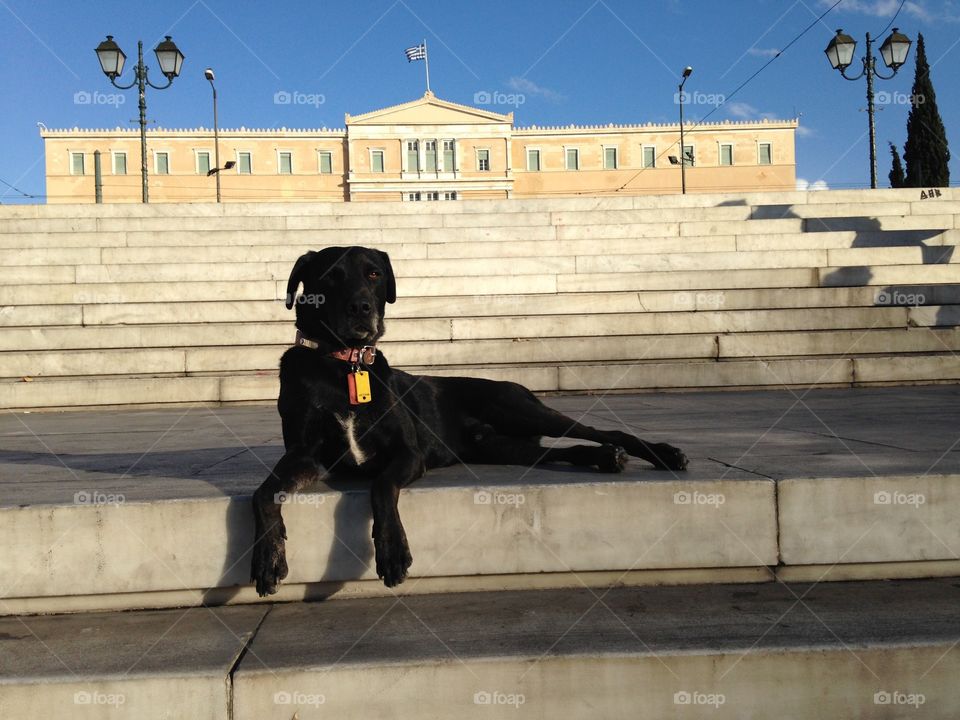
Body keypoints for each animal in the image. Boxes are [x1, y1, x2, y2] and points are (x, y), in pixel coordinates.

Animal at [251, 248, 688, 596]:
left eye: (373, 274)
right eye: (330, 275)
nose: (361, 308)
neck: (346, 366)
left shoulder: (408, 454)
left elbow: (381, 485)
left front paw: (393, 551)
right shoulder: (306, 456)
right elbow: (264, 493)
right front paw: (267, 558)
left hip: (519, 408)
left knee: (601, 430)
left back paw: (663, 454)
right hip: (503, 446)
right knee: (565, 450)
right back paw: (605, 458)